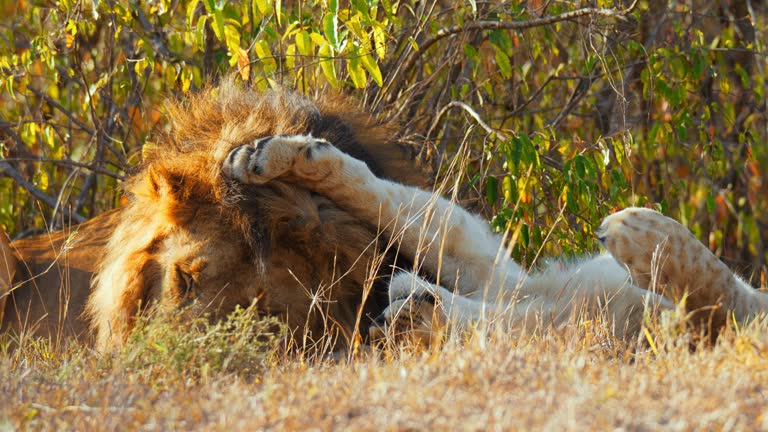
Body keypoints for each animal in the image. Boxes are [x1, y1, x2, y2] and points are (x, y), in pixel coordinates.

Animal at [222, 135, 768, 344]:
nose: (389, 313)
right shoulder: (487, 270)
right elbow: (381, 195)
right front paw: (270, 156)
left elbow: (721, 294)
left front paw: (637, 229)